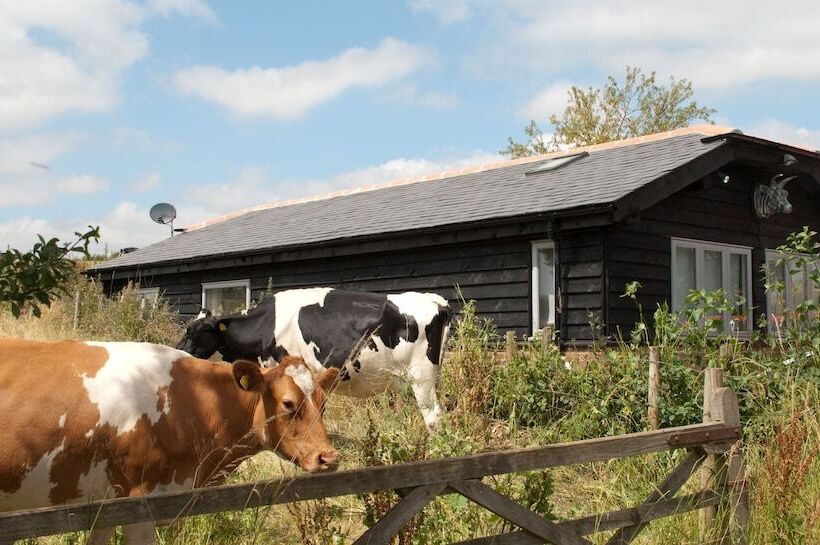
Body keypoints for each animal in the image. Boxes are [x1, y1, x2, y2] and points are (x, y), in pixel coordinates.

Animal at [176, 288, 451, 432]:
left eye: (194, 332)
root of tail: (435, 300)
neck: (265, 324)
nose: (177, 351)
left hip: (421, 376)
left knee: (433, 416)